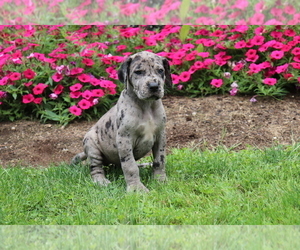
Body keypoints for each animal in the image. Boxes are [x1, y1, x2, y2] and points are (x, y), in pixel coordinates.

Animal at [71, 50, 172, 191]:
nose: (154, 86)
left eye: (161, 70)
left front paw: (160, 180)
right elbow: (130, 166)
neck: (146, 106)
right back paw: (101, 180)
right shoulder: (124, 139)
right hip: (91, 144)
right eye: (138, 72)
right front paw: (136, 188)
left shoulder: (160, 136)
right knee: (95, 168)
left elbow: (160, 160)